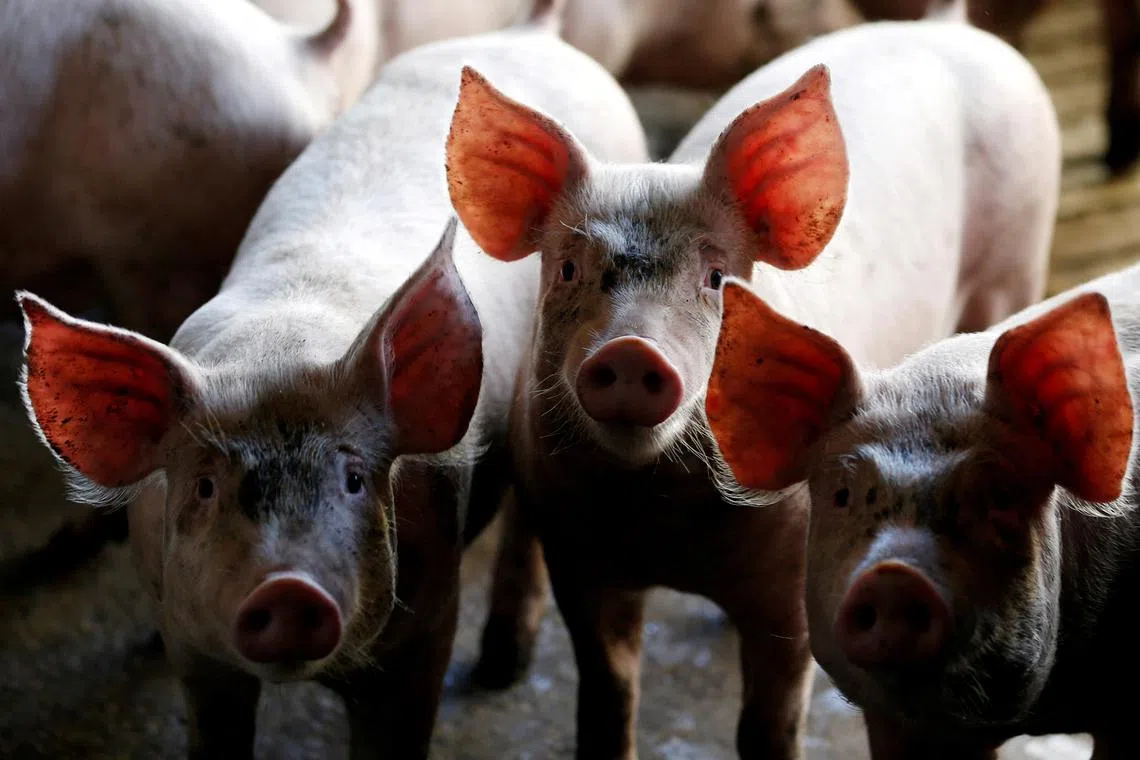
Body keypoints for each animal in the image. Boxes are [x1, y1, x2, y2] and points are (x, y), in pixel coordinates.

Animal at [16, 2, 649, 756]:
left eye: (353, 480)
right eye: (204, 486)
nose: (289, 588)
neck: (280, 347)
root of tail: (536, 34)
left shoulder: (425, 626)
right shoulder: (196, 653)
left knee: (528, 519)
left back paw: (501, 668)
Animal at [445, 18, 1060, 760]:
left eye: (716, 279)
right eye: (567, 269)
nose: (629, 349)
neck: (663, 525)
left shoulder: (791, 579)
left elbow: (769, 717)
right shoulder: (581, 558)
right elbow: (608, 691)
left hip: (1018, 262)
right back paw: (497, 670)